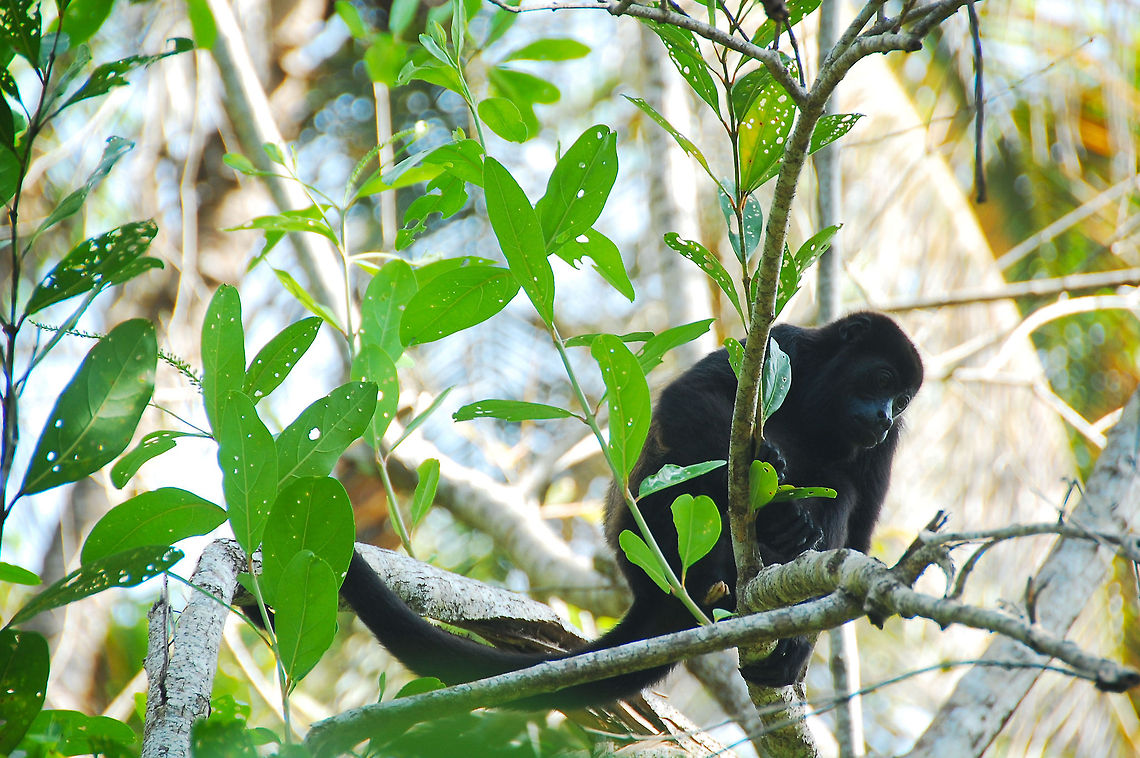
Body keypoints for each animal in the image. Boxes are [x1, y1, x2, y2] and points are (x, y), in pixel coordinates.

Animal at [339, 311, 923, 707]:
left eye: (902, 401)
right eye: (882, 380)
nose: (883, 416)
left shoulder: (890, 444)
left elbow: (860, 530)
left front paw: (800, 644)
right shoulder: (782, 345)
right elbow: (686, 399)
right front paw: (775, 489)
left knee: (840, 489)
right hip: (648, 526)